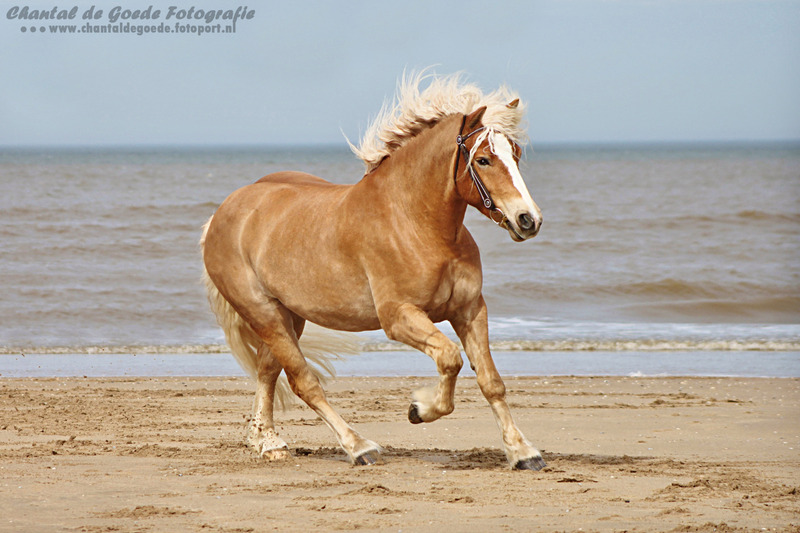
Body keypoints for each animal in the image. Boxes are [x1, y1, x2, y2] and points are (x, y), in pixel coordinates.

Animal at [200, 72, 545, 470]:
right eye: (484, 159)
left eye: (516, 154)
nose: (529, 220)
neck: (415, 222)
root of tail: (223, 212)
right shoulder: (399, 317)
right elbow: (450, 359)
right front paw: (419, 409)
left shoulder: (470, 310)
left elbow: (491, 381)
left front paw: (523, 452)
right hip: (264, 314)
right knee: (305, 382)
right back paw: (358, 446)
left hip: (289, 316)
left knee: (268, 372)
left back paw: (268, 442)